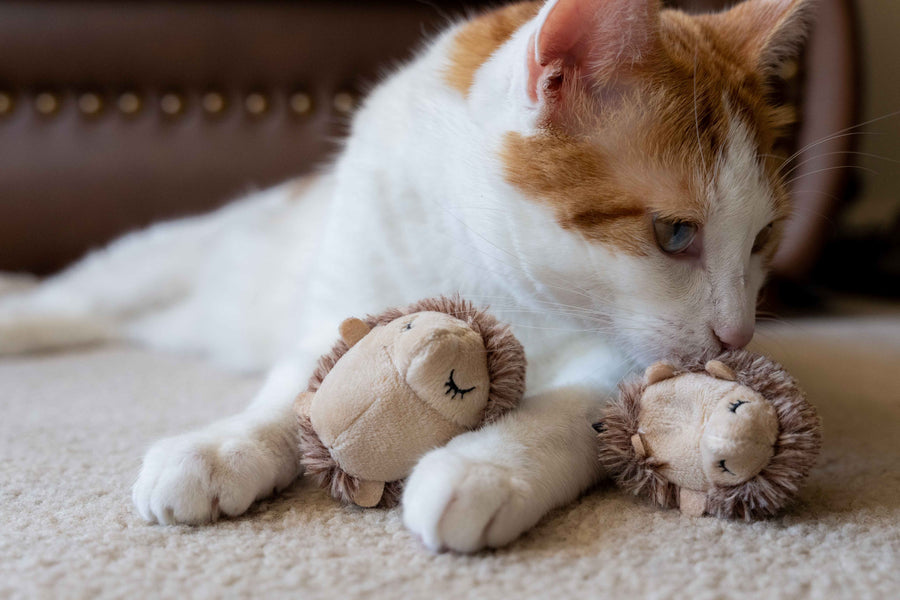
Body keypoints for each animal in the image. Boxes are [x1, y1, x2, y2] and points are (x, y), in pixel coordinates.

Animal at [0, 0, 812, 552]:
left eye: (764, 237)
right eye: (676, 233)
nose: (736, 333)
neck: (488, 270)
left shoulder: (624, 362)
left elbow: (574, 412)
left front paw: (485, 466)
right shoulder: (337, 309)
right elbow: (294, 393)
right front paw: (220, 445)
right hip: (148, 267)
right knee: (70, 301)